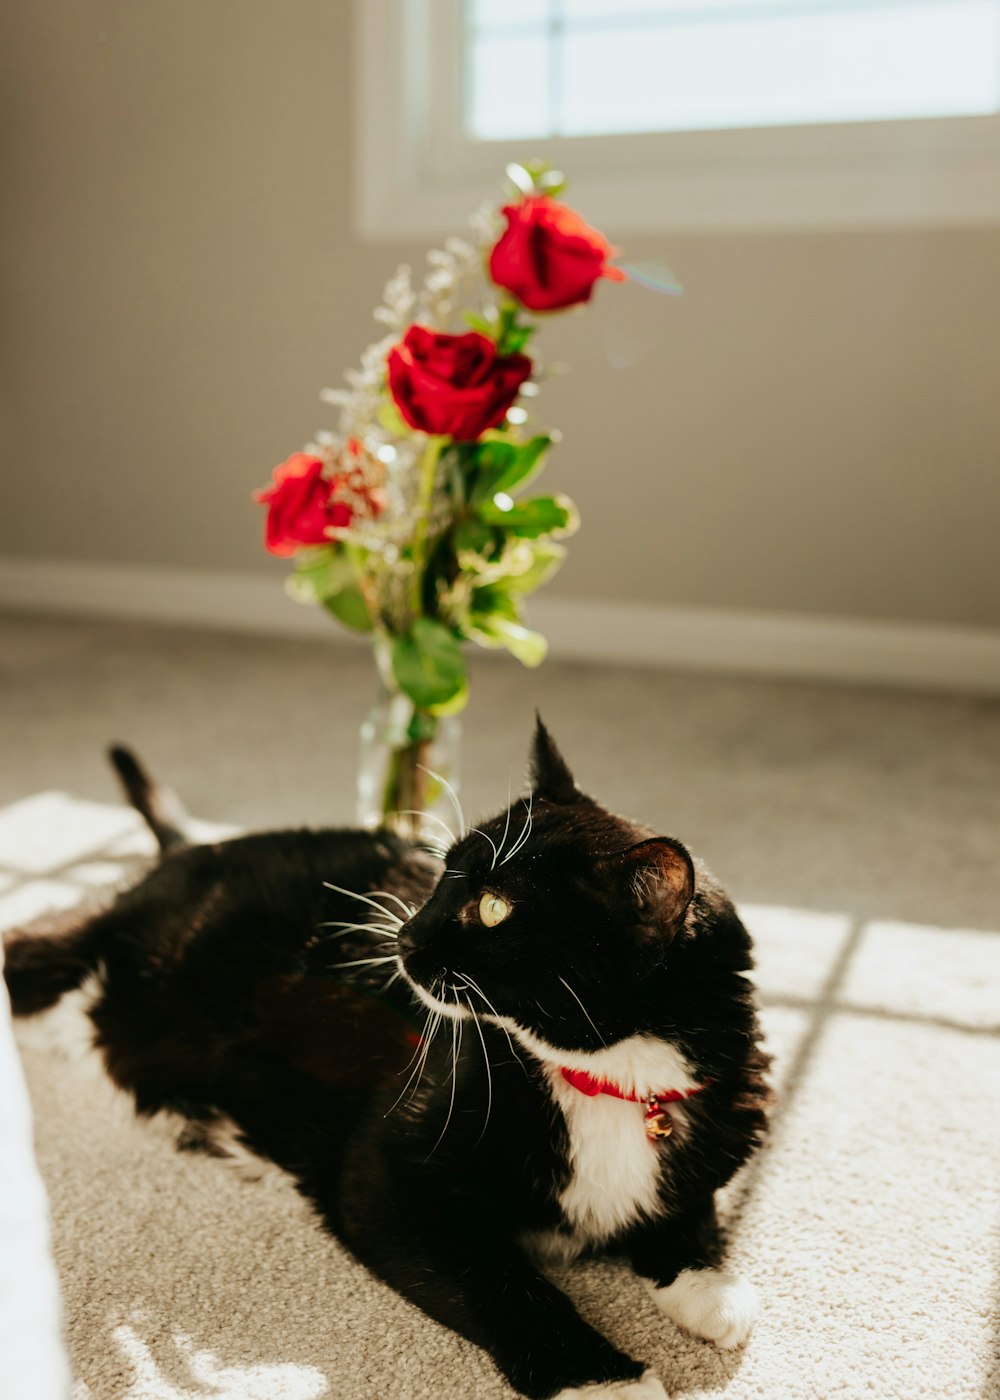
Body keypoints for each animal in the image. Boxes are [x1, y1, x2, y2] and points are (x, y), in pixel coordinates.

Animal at [3, 722, 767, 1400]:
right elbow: (498, 1282)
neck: (608, 1079)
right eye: (443, 872)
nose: (404, 935)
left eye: (495, 908)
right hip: (85, 955)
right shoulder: (389, 1172)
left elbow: (690, 1204)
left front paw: (711, 1287)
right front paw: (603, 1380)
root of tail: (195, 848)